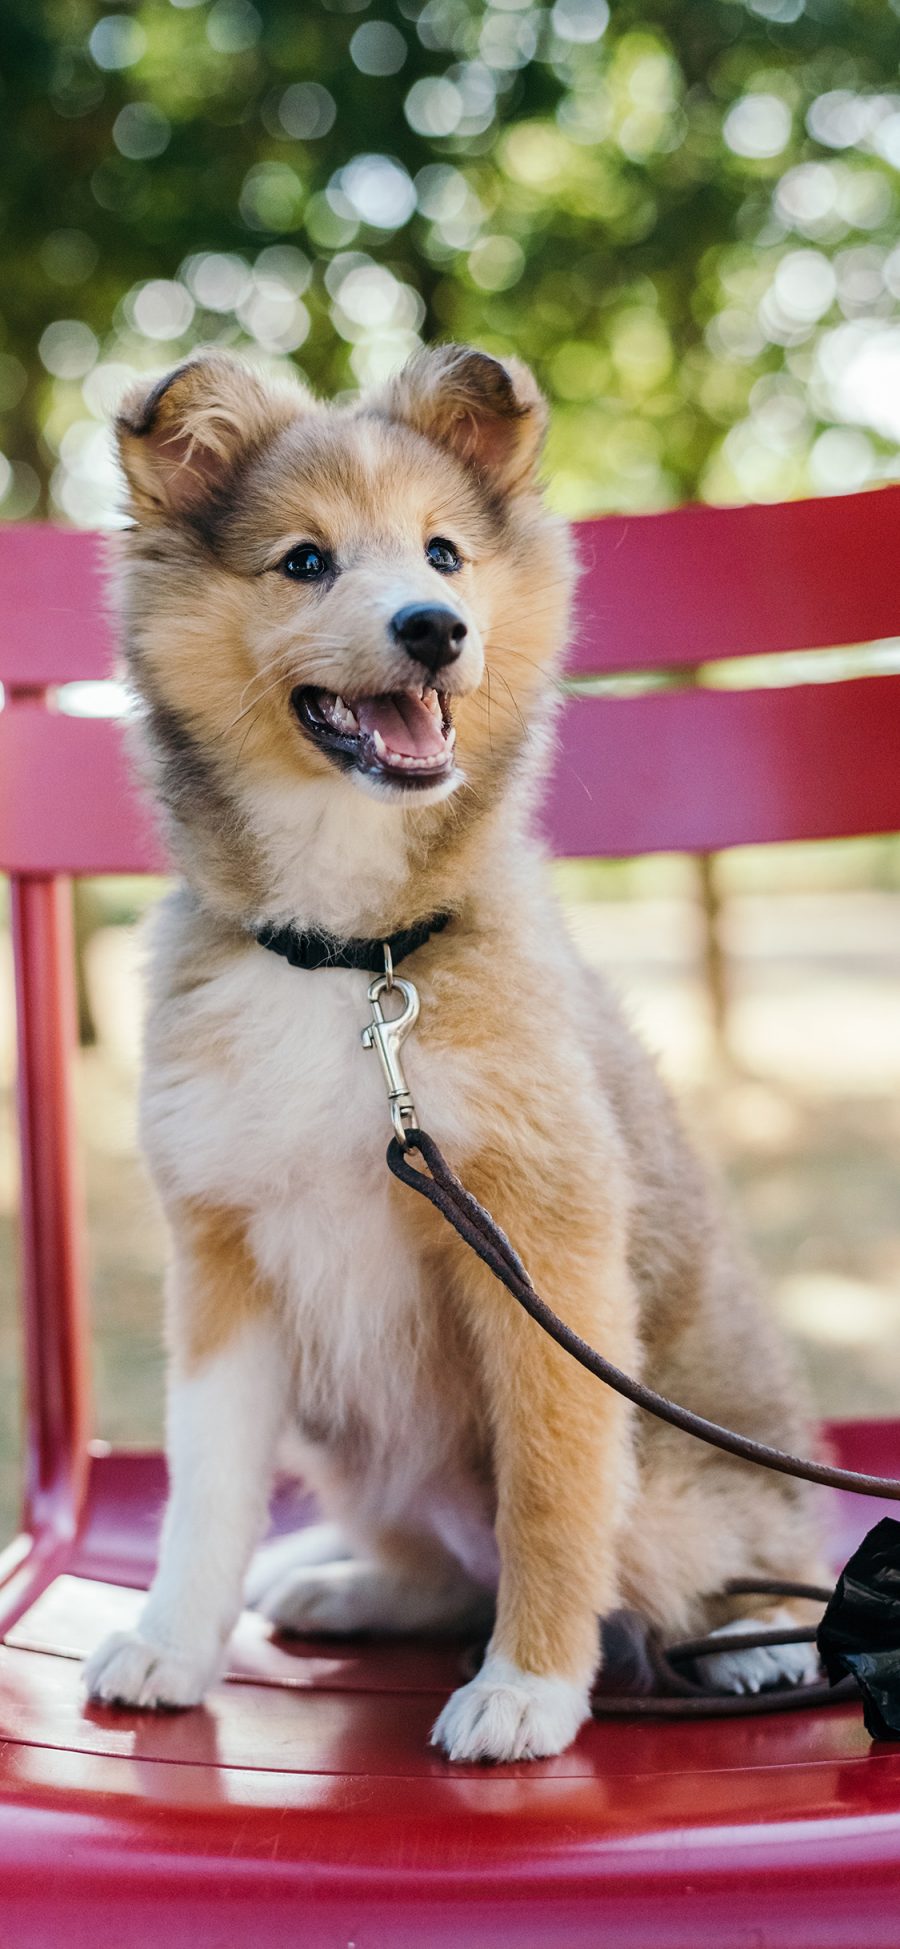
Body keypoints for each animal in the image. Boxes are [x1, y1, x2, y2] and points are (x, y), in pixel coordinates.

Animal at [84, 346, 822, 1769]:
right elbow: (207, 1487)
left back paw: (760, 1644)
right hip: (358, 1443)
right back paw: (341, 1581)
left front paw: (530, 1686)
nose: (434, 626)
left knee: (719, 1570)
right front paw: (172, 1642)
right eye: (305, 561)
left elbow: (549, 1487)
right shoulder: (224, 1258)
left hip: (686, 1495)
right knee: (442, 1569)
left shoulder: (541, 1256)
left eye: (444, 552)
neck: (349, 958)